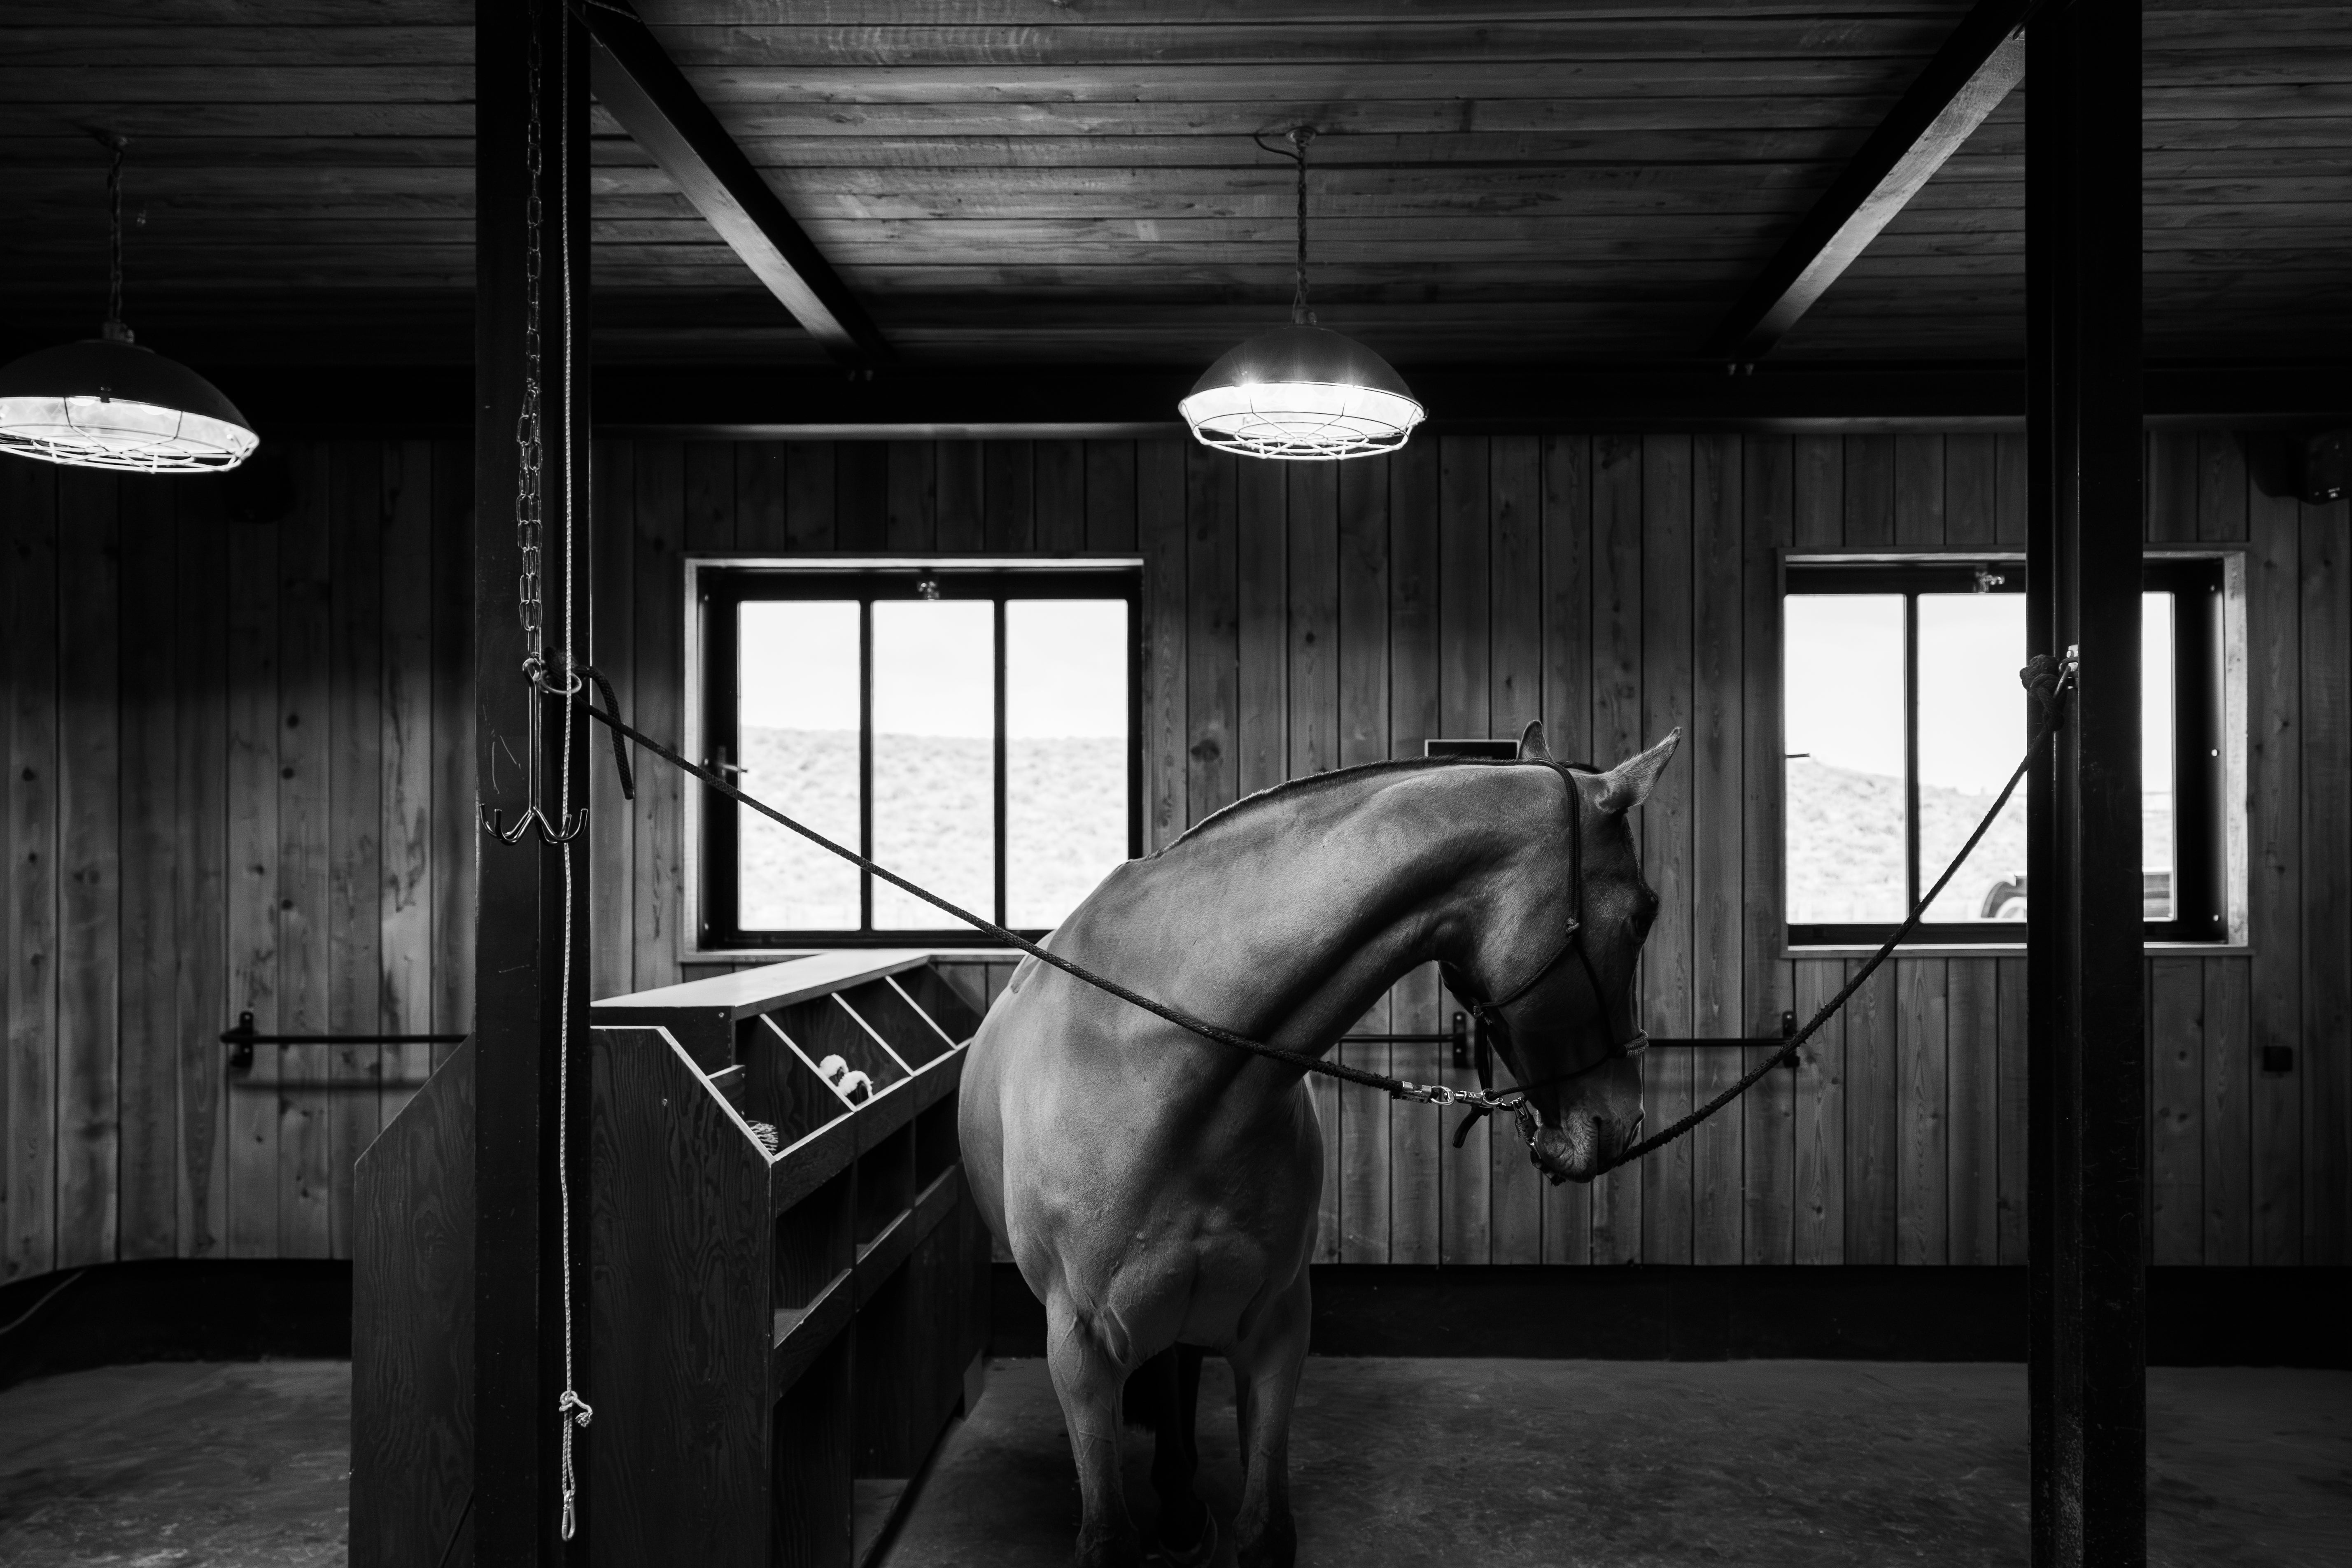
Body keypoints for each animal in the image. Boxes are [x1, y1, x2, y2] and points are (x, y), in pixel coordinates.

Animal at [958, 720, 1680, 1568]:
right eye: (1641, 912)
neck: (1166, 1059)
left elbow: (1265, 1529)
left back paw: (1180, 1504)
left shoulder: (1277, 1326)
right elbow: (1107, 1532)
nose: (1622, 1120)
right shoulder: (1079, 1351)